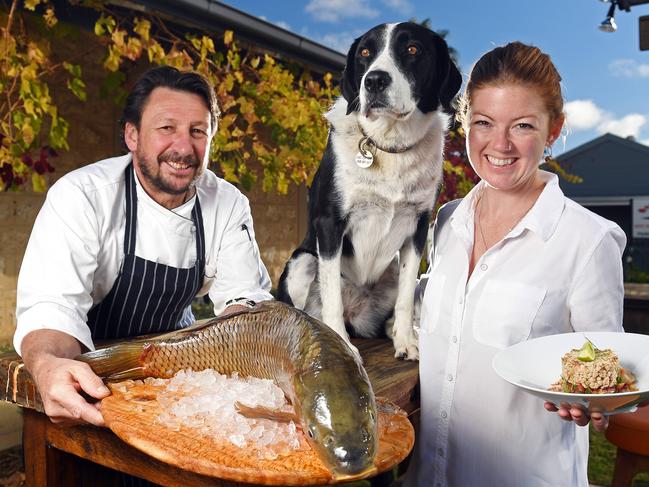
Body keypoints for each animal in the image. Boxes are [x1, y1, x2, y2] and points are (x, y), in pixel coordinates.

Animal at [276, 21, 458, 360]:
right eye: (364, 53)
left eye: (413, 49)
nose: (373, 80)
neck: (389, 146)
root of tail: (357, 312)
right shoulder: (329, 223)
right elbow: (331, 295)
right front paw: (340, 346)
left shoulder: (418, 225)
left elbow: (404, 299)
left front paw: (406, 342)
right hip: (301, 261)